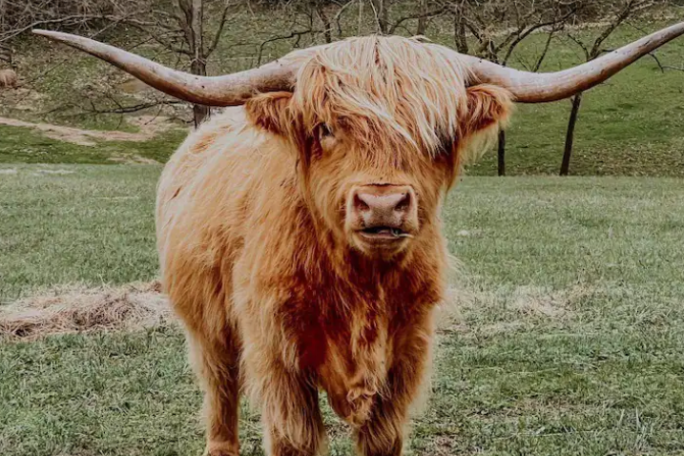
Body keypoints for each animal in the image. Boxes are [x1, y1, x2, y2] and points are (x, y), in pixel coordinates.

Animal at [34, 23, 684, 456]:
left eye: (438, 134)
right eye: (324, 127)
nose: (382, 203)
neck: (359, 287)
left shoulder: (405, 360)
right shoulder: (279, 360)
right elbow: (294, 439)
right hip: (209, 331)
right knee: (220, 409)